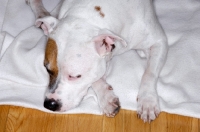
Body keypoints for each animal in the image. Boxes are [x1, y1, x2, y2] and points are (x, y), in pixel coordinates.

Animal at [26, 0, 167, 122]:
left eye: (76, 76)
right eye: (47, 69)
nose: (49, 104)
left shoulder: (159, 42)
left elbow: (149, 73)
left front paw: (147, 101)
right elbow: (95, 78)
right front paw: (106, 98)